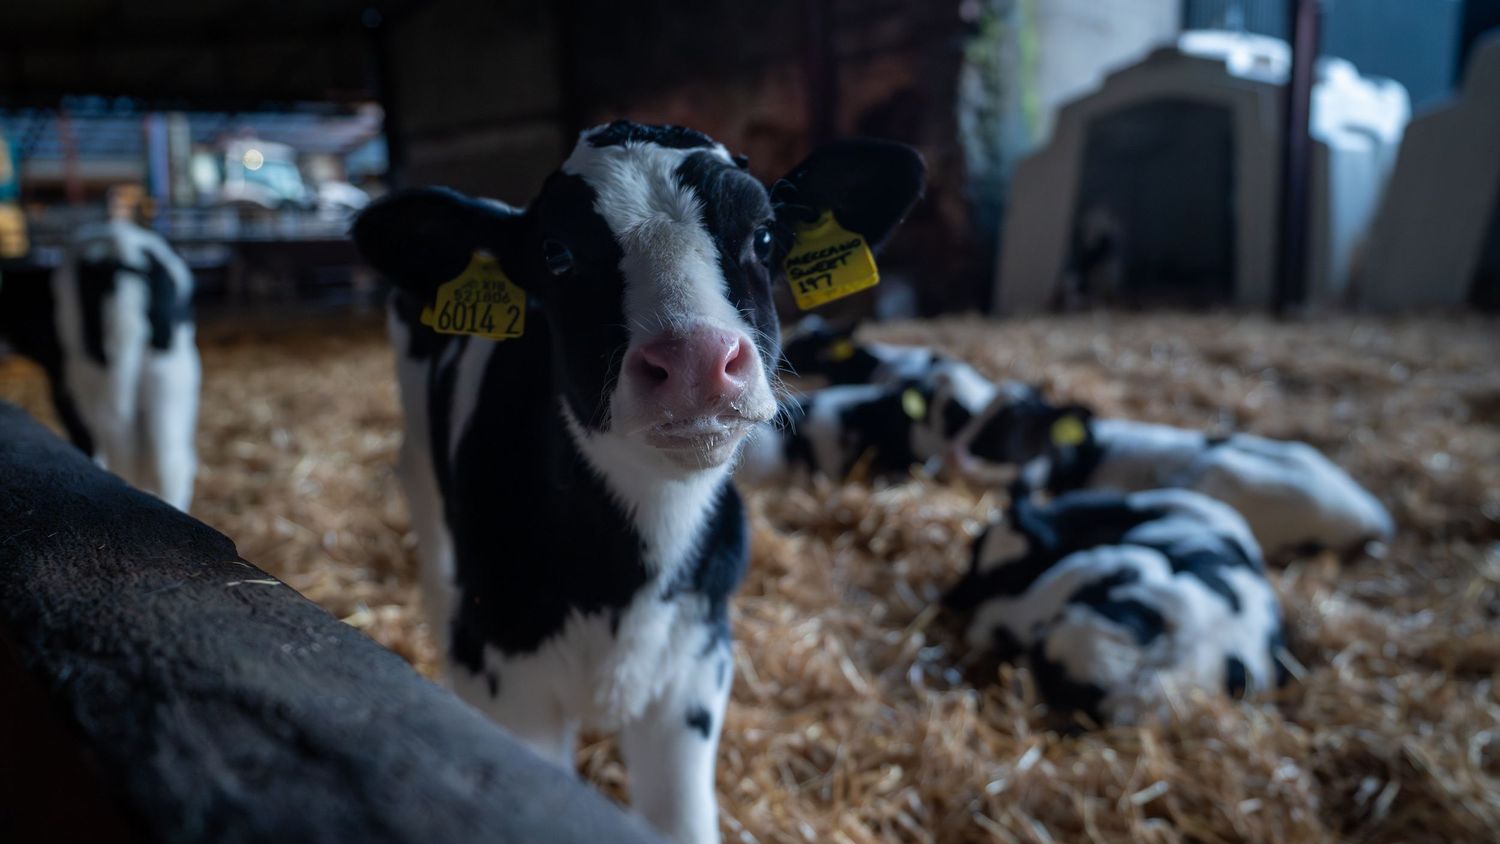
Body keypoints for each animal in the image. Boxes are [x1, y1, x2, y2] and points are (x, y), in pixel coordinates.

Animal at [0, 219, 198, 511]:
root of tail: (122, 250)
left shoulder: (63, 386)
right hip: (172, 377)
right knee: (172, 464)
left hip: (96, 381)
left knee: (119, 449)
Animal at [351, 120, 924, 844]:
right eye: (557, 253)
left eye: (764, 236)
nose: (696, 360)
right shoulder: (507, 683)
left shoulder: (696, 672)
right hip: (420, 458)